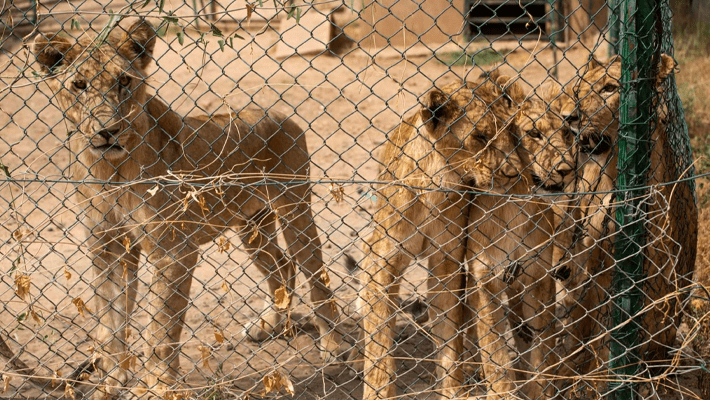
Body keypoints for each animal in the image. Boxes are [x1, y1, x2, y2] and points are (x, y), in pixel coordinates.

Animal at [31, 19, 343, 398]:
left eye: (124, 82)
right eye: (79, 85)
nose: (108, 131)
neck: (109, 170)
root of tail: (279, 113)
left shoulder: (174, 251)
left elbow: (161, 327)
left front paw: (156, 386)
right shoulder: (108, 246)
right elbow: (111, 321)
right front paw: (112, 381)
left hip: (295, 209)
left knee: (316, 274)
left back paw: (333, 348)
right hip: (251, 225)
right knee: (282, 266)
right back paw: (270, 325)